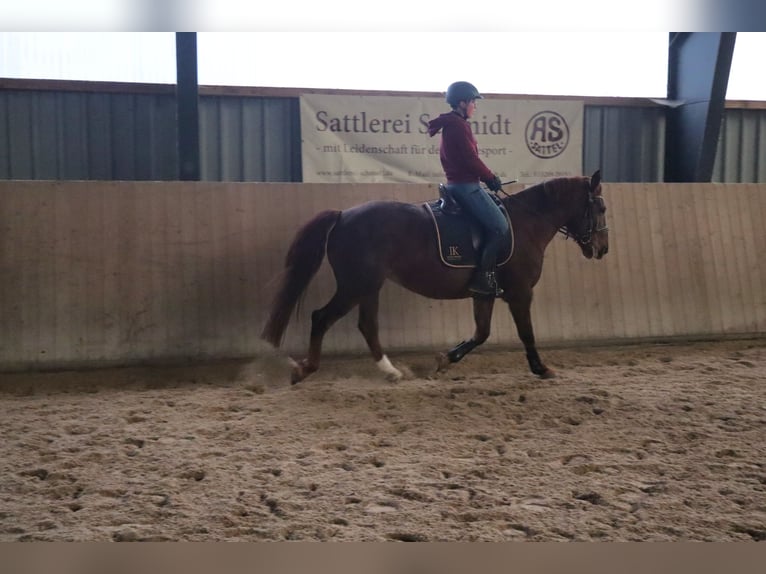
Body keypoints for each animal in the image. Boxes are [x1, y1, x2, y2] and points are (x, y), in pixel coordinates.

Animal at [261, 170, 608, 383]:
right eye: (601, 208)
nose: (603, 249)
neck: (526, 223)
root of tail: (343, 215)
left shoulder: (485, 293)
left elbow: (482, 333)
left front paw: (444, 360)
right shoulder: (521, 292)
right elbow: (527, 333)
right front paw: (541, 368)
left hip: (368, 286)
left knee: (367, 325)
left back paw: (391, 372)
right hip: (355, 285)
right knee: (321, 318)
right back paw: (304, 370)